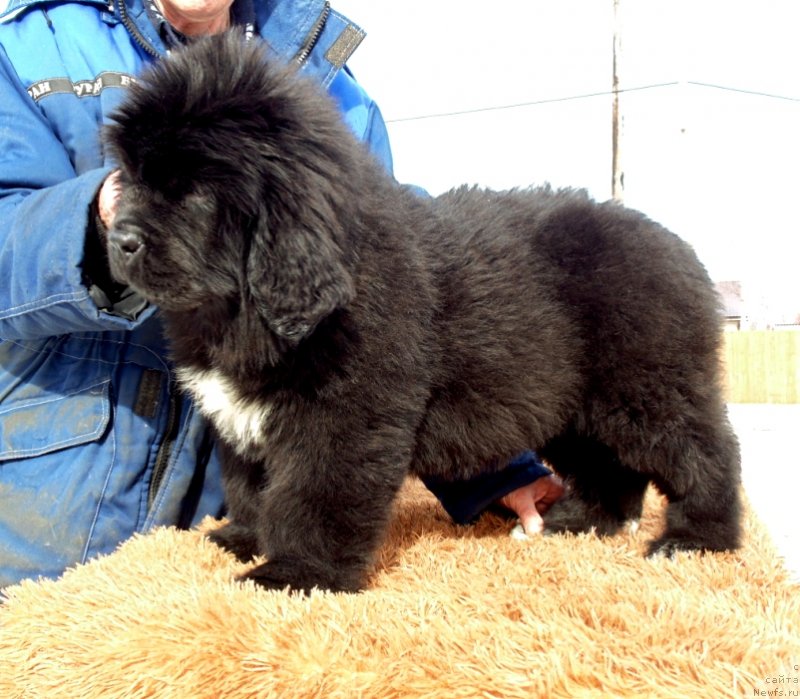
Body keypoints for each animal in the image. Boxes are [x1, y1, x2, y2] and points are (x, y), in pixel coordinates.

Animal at [103, 31, 740, 592]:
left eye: (192, 191)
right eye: (131, 178)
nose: (118, 238)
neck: (241, 310)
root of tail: (680, 249)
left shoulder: (342, 417)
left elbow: (312, 496)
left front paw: (296, 575)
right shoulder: (242, 422)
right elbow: (251, 488)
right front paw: (244, 538)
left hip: (647, 387)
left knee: (705, 453)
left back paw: (695, 539)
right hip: (571, 405)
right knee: (610, 468)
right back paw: (582, 523)